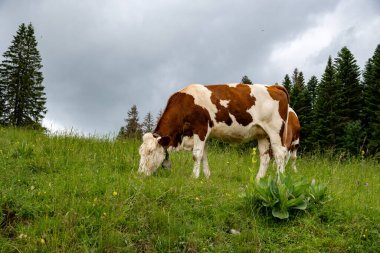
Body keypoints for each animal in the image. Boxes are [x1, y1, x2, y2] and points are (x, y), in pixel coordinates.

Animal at [138, 83, 290, 180]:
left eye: (150, 152)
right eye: (140, 152)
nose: (139, 174)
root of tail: (273, 86)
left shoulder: (201, 128)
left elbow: (196, 155)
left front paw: (193, 177)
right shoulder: (203, 135)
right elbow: (204, 156)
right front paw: (206, 177)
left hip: (275, 130)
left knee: (280, 154)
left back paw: (279, 180)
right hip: (262, 133)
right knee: (265, 157)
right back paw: (258, 180)